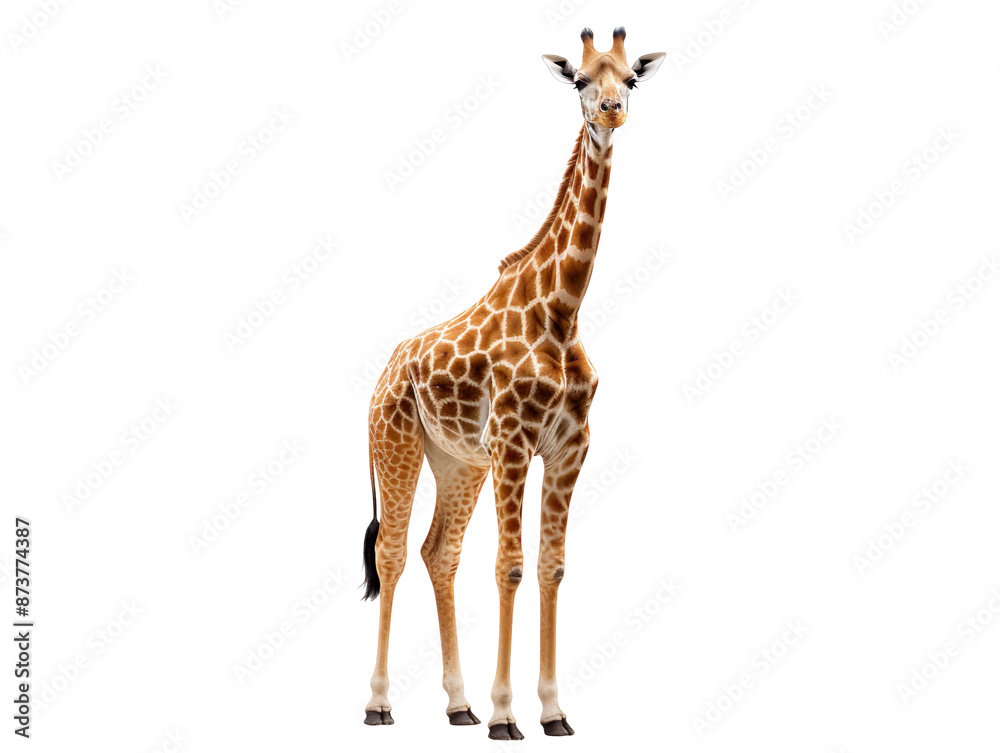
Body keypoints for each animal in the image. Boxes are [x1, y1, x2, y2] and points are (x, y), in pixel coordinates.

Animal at [361, 27, 665, 739]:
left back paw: (458, 705)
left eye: (630, 80)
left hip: (456, 461)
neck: (561, 309)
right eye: (580, 80)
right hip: (397, 443)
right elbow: (510, 567)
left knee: (438, 552)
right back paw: (379, 704)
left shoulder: (569, 449)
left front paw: (552, 711)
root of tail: (383, 371)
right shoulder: (513, 443)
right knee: (392, 552)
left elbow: (551, 567)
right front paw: (508, 715)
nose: (611, 111)